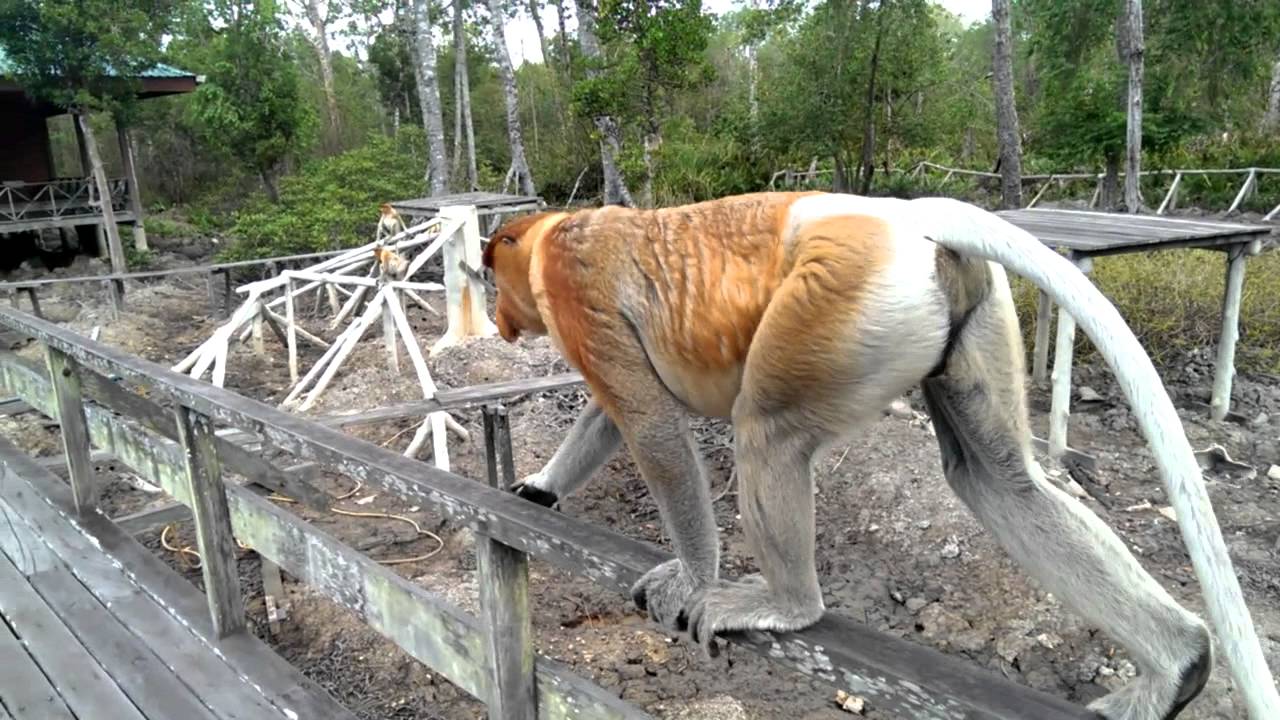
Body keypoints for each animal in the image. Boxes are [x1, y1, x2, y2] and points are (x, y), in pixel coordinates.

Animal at [481, 192, 1224, 720]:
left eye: (493, 271)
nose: (497, 316)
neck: (554, 236)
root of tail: (902, 213)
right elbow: (610, 416)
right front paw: (537, 489)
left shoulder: (578, 291)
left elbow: (648, 423)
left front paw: (691, 578)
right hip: (966, 303)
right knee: (999, 480)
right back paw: (1178, 668)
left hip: (840, 301)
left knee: (768, 431)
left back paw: (785, 604)